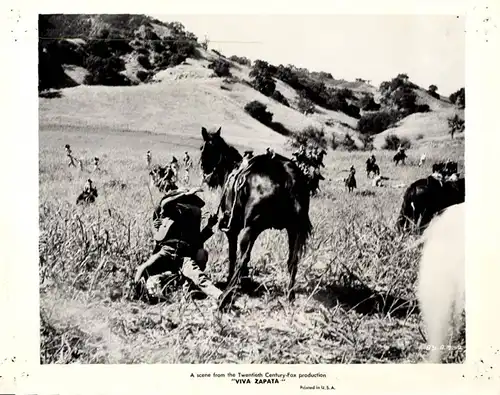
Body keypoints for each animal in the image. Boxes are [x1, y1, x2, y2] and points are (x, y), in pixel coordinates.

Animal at [200, 127, 312, 310]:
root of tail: (289, 177)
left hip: (251, 229)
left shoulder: (232, 229)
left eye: (202, 148)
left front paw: (232, 280)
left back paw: (226, 296)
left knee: (244, 257)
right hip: (293, 230)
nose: (204, 172)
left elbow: (232, 256)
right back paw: (290, 296)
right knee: (293, 260)